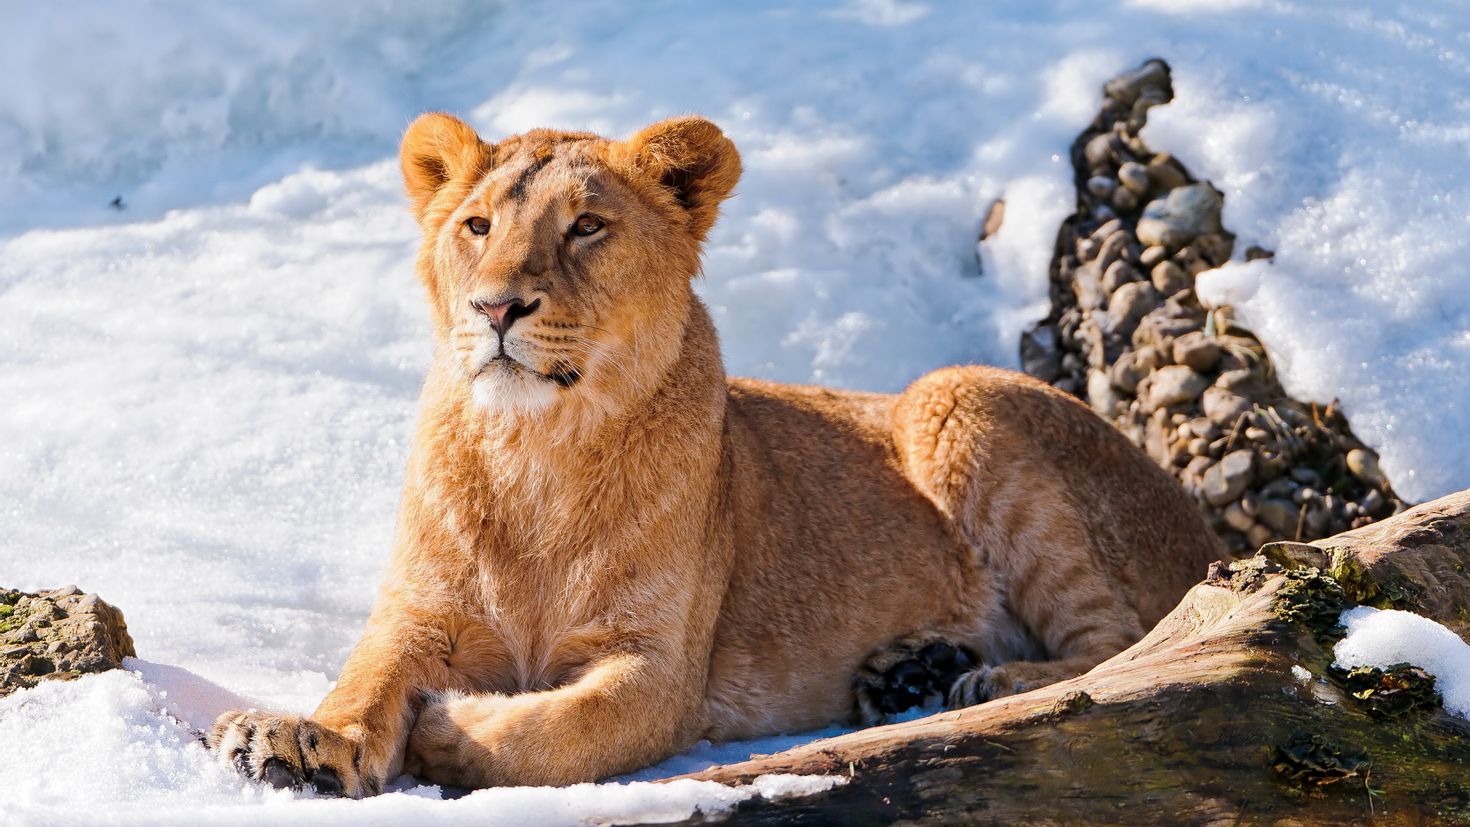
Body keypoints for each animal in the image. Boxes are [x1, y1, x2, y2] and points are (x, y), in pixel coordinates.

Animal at [204, 111, 1217, 793]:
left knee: (1125, 644)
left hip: (953, 394)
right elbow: (364, 679)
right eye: (478, 226)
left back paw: (985, 679)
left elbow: (558, 731)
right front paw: (296, 741)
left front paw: (454, 725)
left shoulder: (661, 668)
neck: (536, 449)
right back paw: (909, 674)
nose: (495, 307)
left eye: (586, 226)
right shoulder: (419, 613)